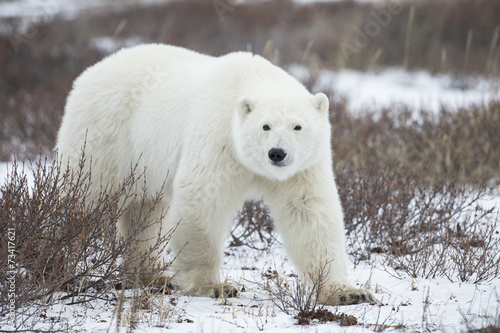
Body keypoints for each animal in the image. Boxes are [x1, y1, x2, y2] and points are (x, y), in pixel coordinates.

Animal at [55, 44, 376, 306]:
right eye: (265, 126)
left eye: (298, 126)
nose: (277, 153)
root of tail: (90, 72)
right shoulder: (218, 139)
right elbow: (203, 200)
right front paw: (214, 286)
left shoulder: (303, 167)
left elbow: (310, 212)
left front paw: (347, 292)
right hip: (103, 137)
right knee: (81, 196)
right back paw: (55, 261)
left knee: (144, 211)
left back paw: (150, 274)